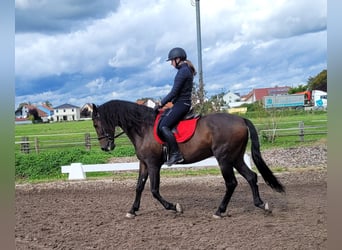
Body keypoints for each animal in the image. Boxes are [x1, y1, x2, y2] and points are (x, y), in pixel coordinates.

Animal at [92, 99, 284, 219]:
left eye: (95, 124)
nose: (105, 147)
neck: (143, 128)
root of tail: (241, 119)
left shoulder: (153, 164)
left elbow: (154, 190)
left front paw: (174, 207)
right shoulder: (144, 163)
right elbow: (139, 187)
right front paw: (132, 210)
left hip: (224, 159)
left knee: (231, 183)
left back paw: (219, 211)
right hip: (235, 158)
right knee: (251, 177)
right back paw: (261, 205)